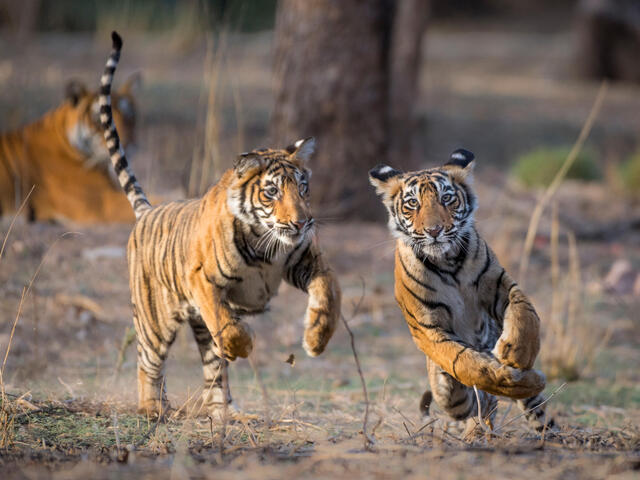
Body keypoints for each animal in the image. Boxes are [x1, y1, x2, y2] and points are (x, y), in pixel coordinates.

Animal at [100, 31, 342, 418]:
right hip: (154, 319)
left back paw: (225, 413)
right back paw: (153, 408)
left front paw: (317, 337)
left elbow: (329, 292)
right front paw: (244, 344)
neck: (266, 243)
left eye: (303, 187)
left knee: (212, 371)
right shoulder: (203, 280)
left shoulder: (306, 260)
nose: (302, 223)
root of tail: (147, 211)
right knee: (149, 362)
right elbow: (227, 326)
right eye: (272, 192)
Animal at [370, 151, 556, 436]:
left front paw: (517, 354)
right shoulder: (427, 327)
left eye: (447, 198)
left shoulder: (499, 284)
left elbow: (525, 312)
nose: (434, 231)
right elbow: (464, 363)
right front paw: (504, 378)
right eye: (413, 203)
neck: (448, 263)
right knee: (460, 399)